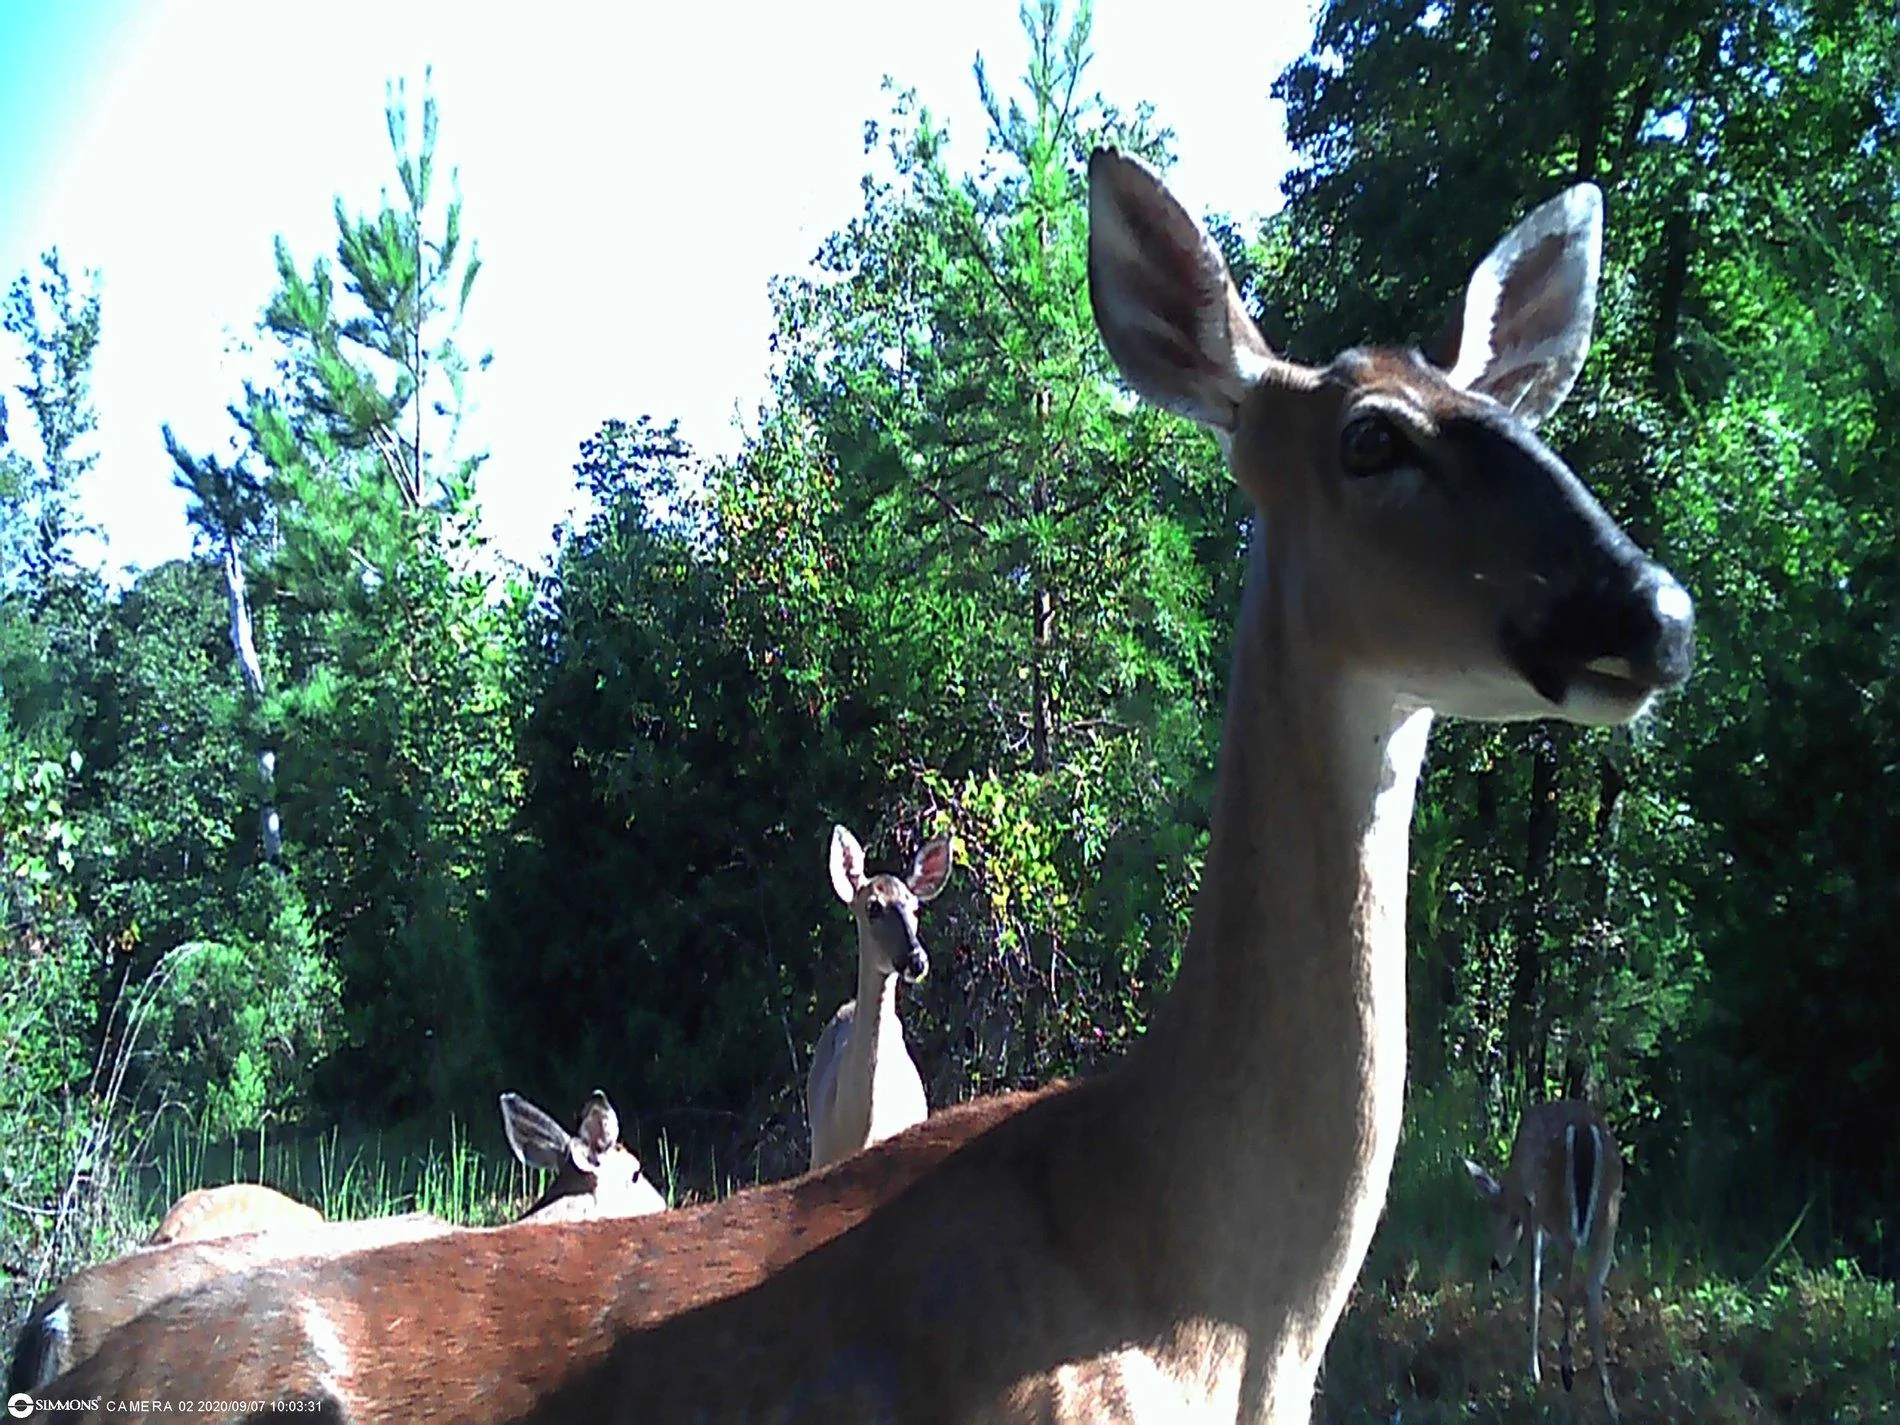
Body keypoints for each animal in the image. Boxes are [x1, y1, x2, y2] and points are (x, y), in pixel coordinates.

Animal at [1465, 1099, 1626, 1420]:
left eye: (1504, 1219)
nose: (1496, 1262)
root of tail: (1584, 1131)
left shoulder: (1534, 1212)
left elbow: (1535, 1287)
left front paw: (1534, 1371)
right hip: (1609, 1214)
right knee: (1593, 1288)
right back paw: (1609, 1402)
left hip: (1556, 1204)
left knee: (1570, 1275)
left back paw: (1566, 1371)